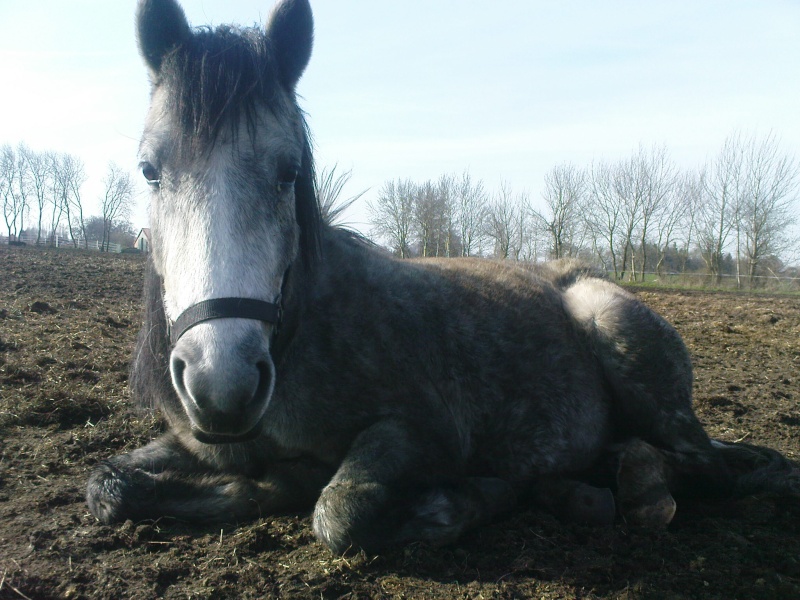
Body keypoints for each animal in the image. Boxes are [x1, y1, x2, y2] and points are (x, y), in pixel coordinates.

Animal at [87, 0, 800, 552]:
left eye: (288, 172)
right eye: (150, 170)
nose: (222, 381)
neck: (304, 335)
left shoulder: (422, 431)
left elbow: (338, 511)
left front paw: (428, 503)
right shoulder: (195, 440)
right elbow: (107, 484)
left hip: (623, 340)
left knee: (703, 468)